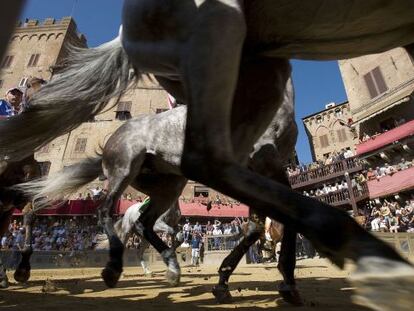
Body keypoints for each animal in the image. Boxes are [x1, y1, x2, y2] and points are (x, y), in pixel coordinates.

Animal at [0, 1, 414, 310]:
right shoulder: (260, 166)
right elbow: (270, 220)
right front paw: (251, 280)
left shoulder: (273, 169)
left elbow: (269, 222)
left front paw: (273, 280)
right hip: (129, 171)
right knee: (112, 213)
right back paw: (113, 268)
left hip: (165, 184)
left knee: (141, 222)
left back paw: (166, 268)